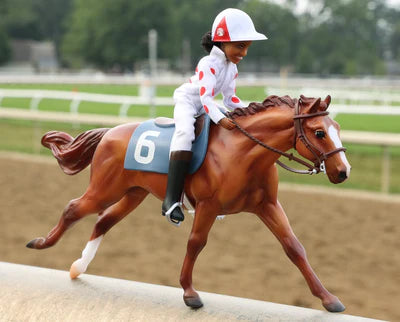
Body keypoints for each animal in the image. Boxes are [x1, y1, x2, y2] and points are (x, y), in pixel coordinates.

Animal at [25, 95, 350, 312]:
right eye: (319, 131)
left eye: (337, 126)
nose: (343, 171)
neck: (241, 151)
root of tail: (109, 132)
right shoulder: (208, 205)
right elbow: (196, 243)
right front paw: (189, 291)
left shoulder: (267, 206)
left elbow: (294, 247)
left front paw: (328, 298)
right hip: (104, 189)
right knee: (73, 208)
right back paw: (41, 243)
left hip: (133, 193)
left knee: (103, 220)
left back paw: (78, 267)